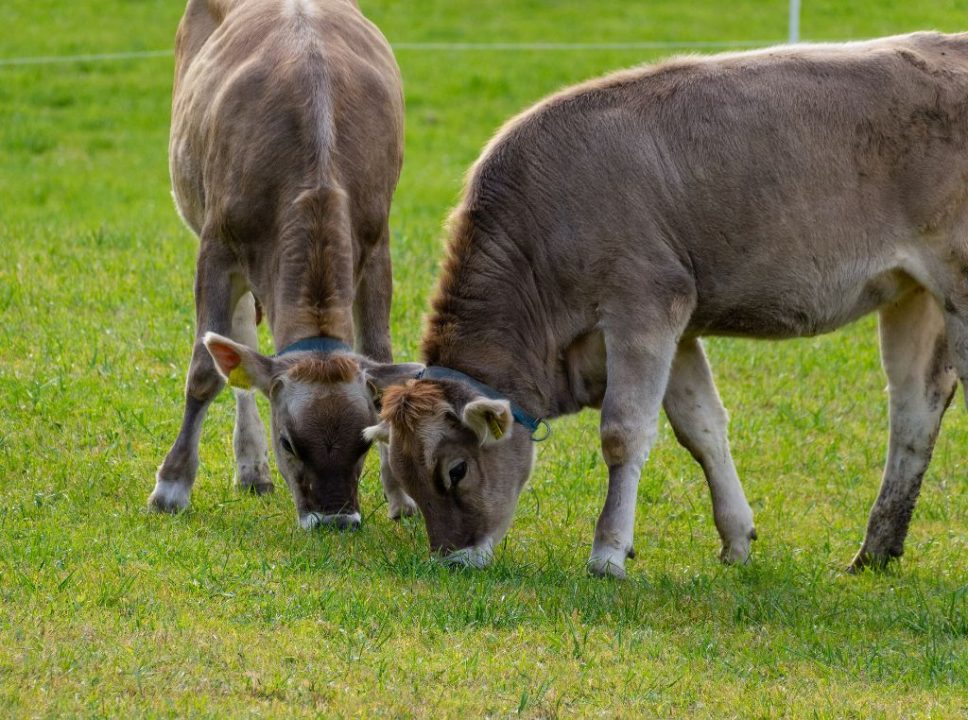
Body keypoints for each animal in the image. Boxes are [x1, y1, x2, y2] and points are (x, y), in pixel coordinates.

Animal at [147, 0, 420, 528]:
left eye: (363, 443)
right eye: (290, 442)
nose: (335, 521)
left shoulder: (377, 242)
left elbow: (380, 353)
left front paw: (400, 494)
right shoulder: (216, 244)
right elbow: (204, 371)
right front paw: (171, 486)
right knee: (234, 345)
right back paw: (251, 467)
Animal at [368, 31, 968, 576]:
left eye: (456, 471)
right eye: (403, 476)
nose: (450, 560)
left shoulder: (645, 307)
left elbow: (624, 432)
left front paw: (608, 554)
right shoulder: (677, 330)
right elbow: (702, 428)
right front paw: (737, 540)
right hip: (912, 293)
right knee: (914, 407)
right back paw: (874, 551)